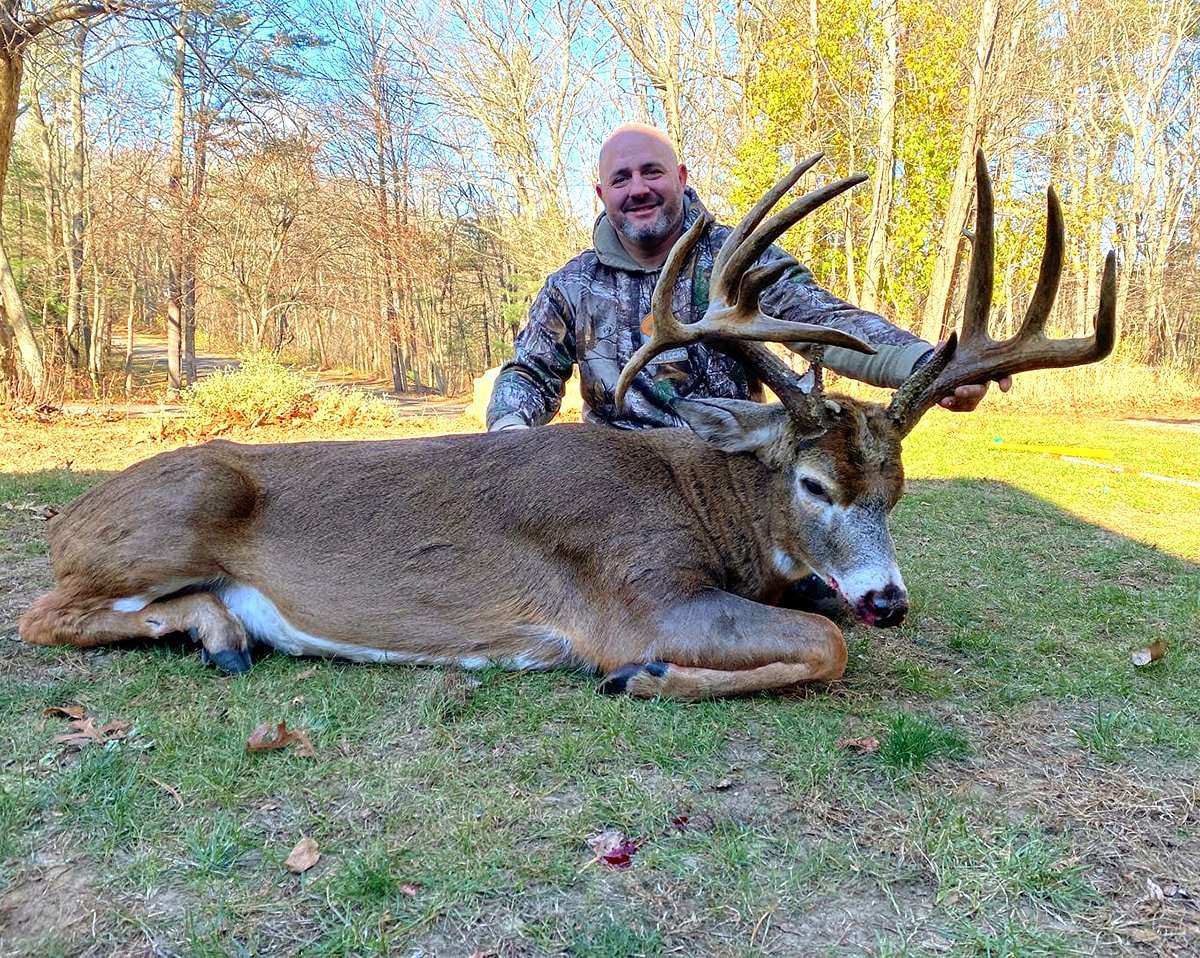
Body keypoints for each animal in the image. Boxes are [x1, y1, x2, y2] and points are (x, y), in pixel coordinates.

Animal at [19, 151, 1116, 700]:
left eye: (896, 489)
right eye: (813, 484)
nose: (888, 599)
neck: (703, 504)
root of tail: (66, 516)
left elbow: (824, 630)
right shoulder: (632, 593)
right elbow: (821, 644)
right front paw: (646, 677)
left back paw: (224, 630)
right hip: (181, 504)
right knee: (40, 613)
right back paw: (218, 631)